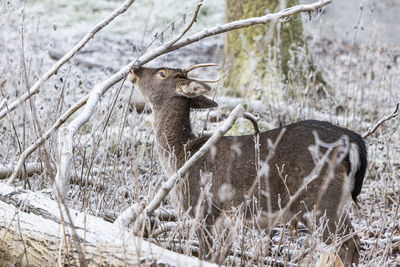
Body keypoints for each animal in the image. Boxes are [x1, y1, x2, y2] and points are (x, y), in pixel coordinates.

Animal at [129, 63, 368, 266]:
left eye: (162, 73)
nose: (135, 67)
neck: (183, 155)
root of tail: (353, 141)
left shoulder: (204, 206)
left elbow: (206, 256)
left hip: (319, 201)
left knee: (349, 244)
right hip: (337, 203)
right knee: (353, 242)